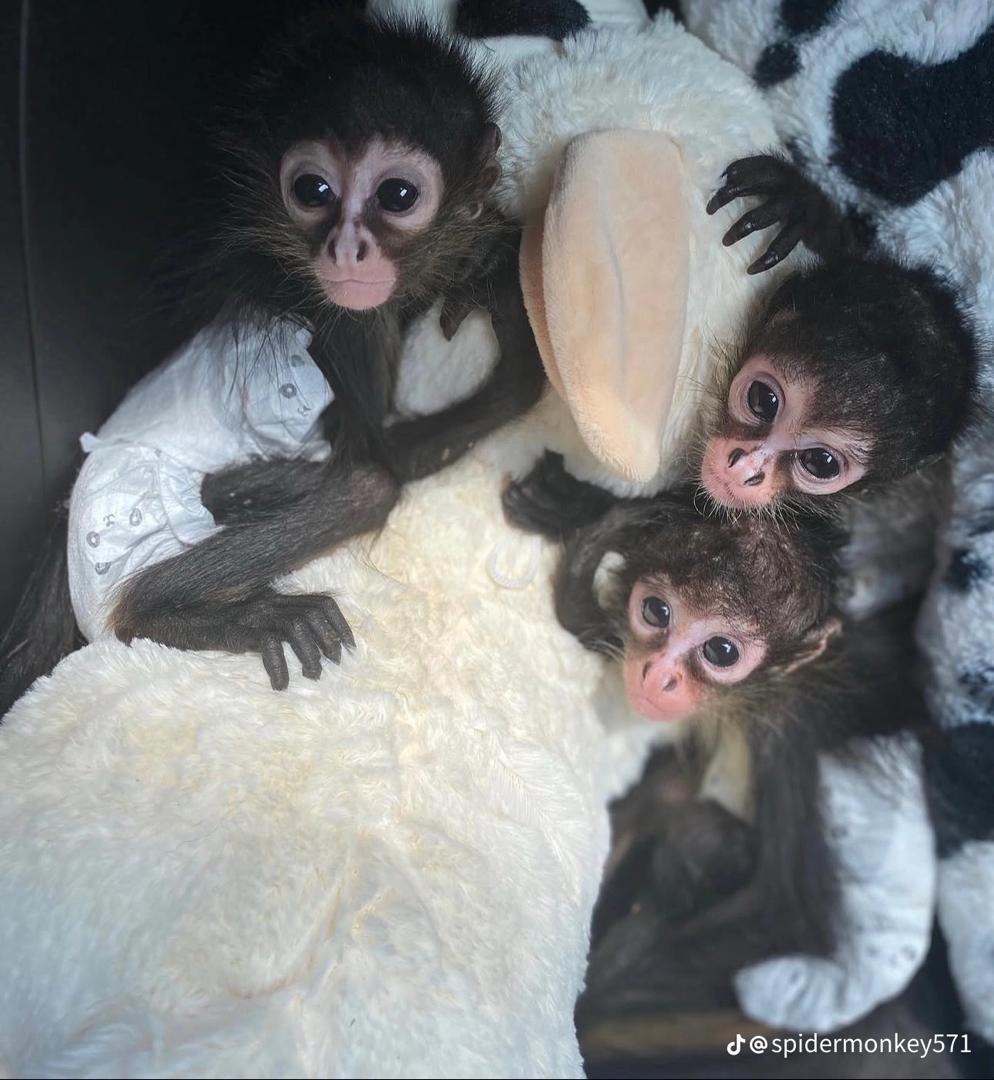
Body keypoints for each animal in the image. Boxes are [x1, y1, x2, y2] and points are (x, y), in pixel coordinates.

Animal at [0, 9, 546, 707]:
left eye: (397, 195)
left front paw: (483, 257)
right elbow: (385, 458)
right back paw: (179, 605)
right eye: (312, 189)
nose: (345, 250)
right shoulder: (343, 327)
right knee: (368, 486)